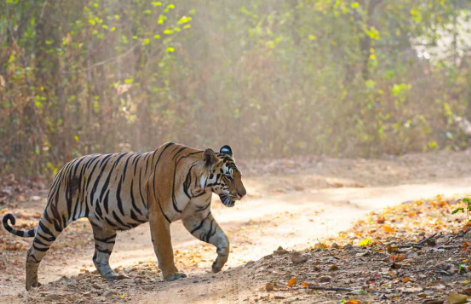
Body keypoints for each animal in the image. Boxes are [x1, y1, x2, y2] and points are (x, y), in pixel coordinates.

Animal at [2, 142, 247, 290]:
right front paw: (172, 275)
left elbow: (222, 238)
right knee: (33, 252)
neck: (199, 186)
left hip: (104, 226)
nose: (243, 193)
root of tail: (62, 168)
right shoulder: (159, 217)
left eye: (239, 176)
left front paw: (217, 265)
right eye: (227, 177)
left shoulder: (197, 217)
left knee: (98, 257)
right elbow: (165, 249)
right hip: (55, 217)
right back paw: (32, 286)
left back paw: (114, 277)